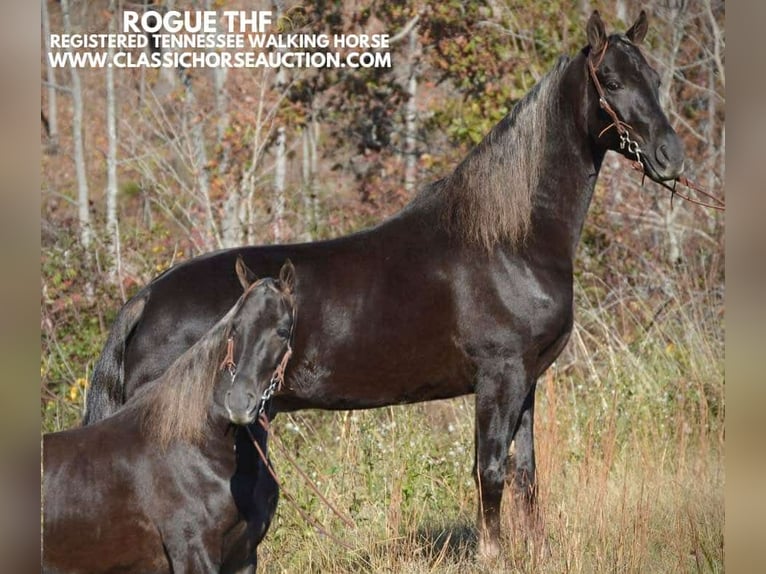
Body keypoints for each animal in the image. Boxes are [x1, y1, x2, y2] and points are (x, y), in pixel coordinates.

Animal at [42, 262, 296, 574]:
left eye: (282, 331)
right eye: (234, 328)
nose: (238, 402)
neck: (199, 447)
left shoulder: (244, 558)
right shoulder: (194, 555)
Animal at [82, 10, 684, 560]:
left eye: (655, 77)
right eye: (611, 82)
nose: (670, 156)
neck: (510, 240)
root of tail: (145, 301)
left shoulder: (528, 381)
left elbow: (526, 472)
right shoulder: (500, 377)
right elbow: (489, 470)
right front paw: (493, 555)